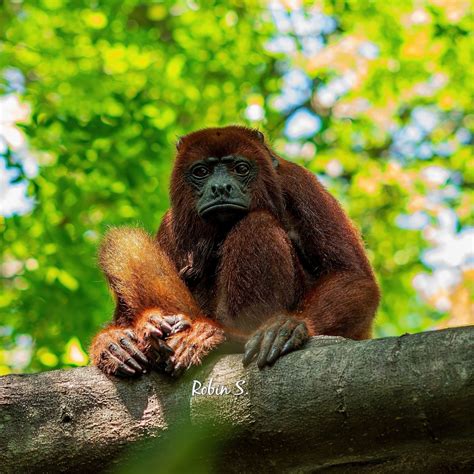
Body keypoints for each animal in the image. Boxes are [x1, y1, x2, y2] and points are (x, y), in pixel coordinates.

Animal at [90, 126, 382, 378]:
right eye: (201, 171)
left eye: (240, 168)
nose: (220, 188)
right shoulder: (170, 223)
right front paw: (114, 342)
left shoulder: (300, 183)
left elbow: (353, 275)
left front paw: (290, 327)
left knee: (257, 222)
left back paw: (226, 337)